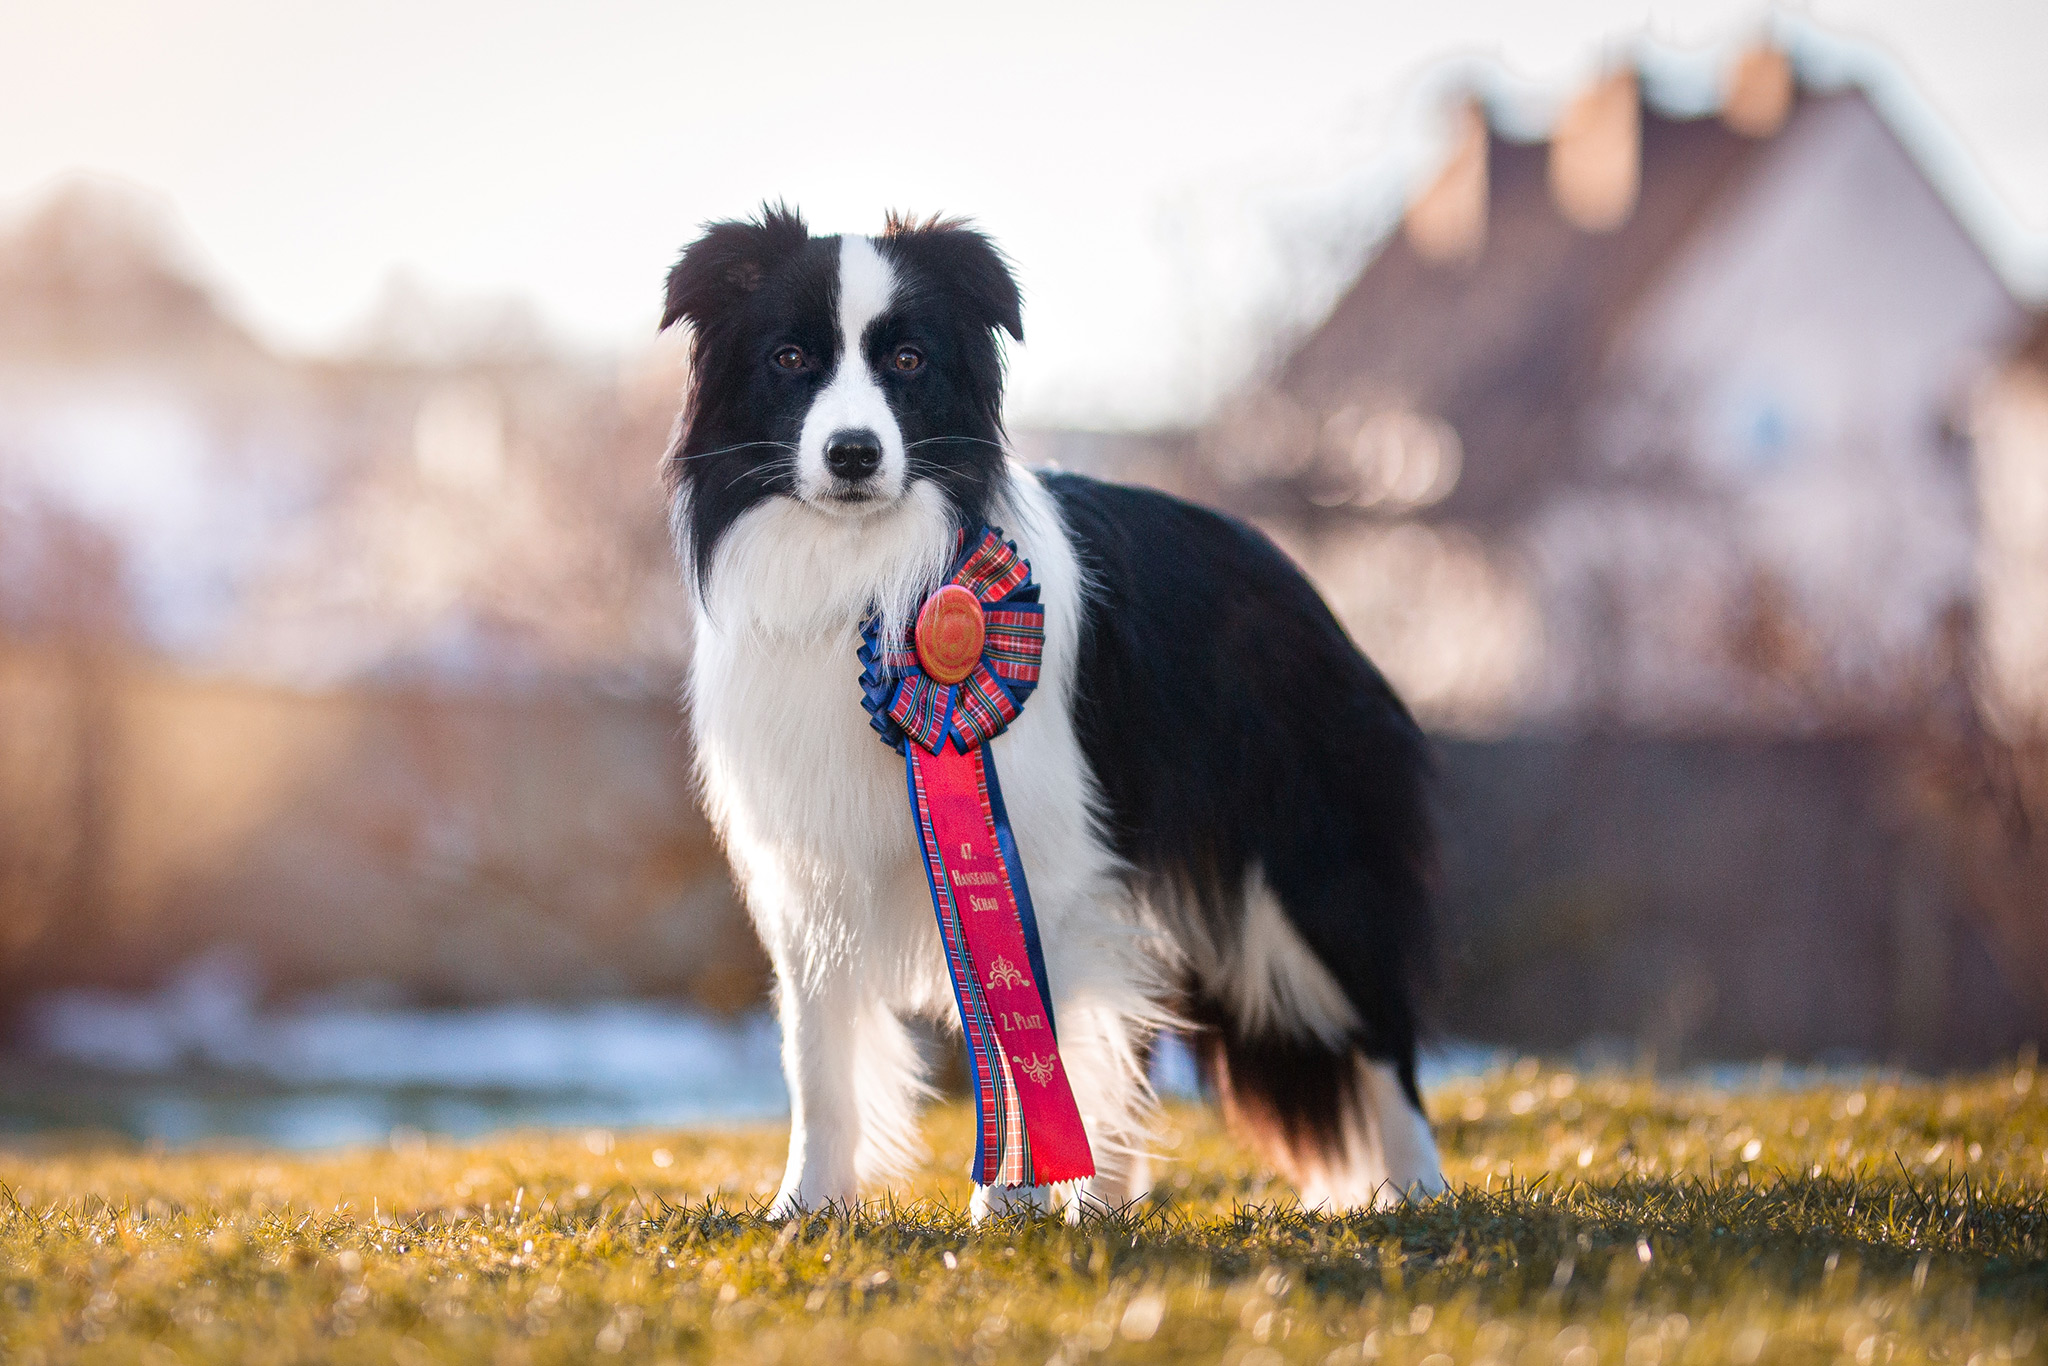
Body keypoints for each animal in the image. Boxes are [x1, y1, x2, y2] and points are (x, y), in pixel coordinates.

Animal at [663, 205, 1449, 1220]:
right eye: (790, 357)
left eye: (909, 360)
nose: (853, 453)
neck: (872, 574)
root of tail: (1297, 583)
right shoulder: (812, 865)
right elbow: (819, 1058)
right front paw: (807, 1210)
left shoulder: (1041, 855)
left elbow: (1025, 1037)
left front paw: (1007, 1206)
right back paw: (1107, 1197)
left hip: (1310, 863)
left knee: (1380, 1026)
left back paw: (1420, 1189)